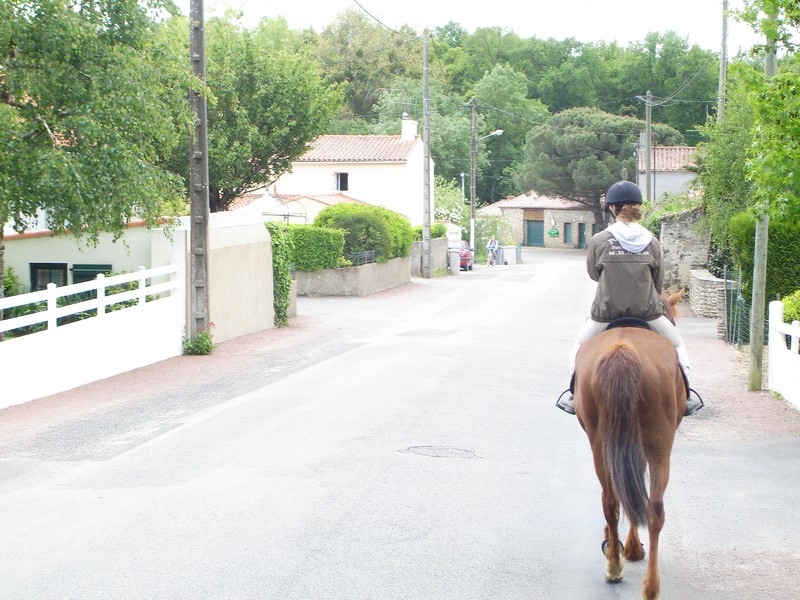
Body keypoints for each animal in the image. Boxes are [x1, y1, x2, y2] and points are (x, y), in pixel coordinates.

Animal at [576, 290, 688, 600]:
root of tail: (623, 351)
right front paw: (632, 548)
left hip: (603, 442)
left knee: (617, 501)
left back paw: (622, 567)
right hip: (657, 444)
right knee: (646, 506)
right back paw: (637, 578)